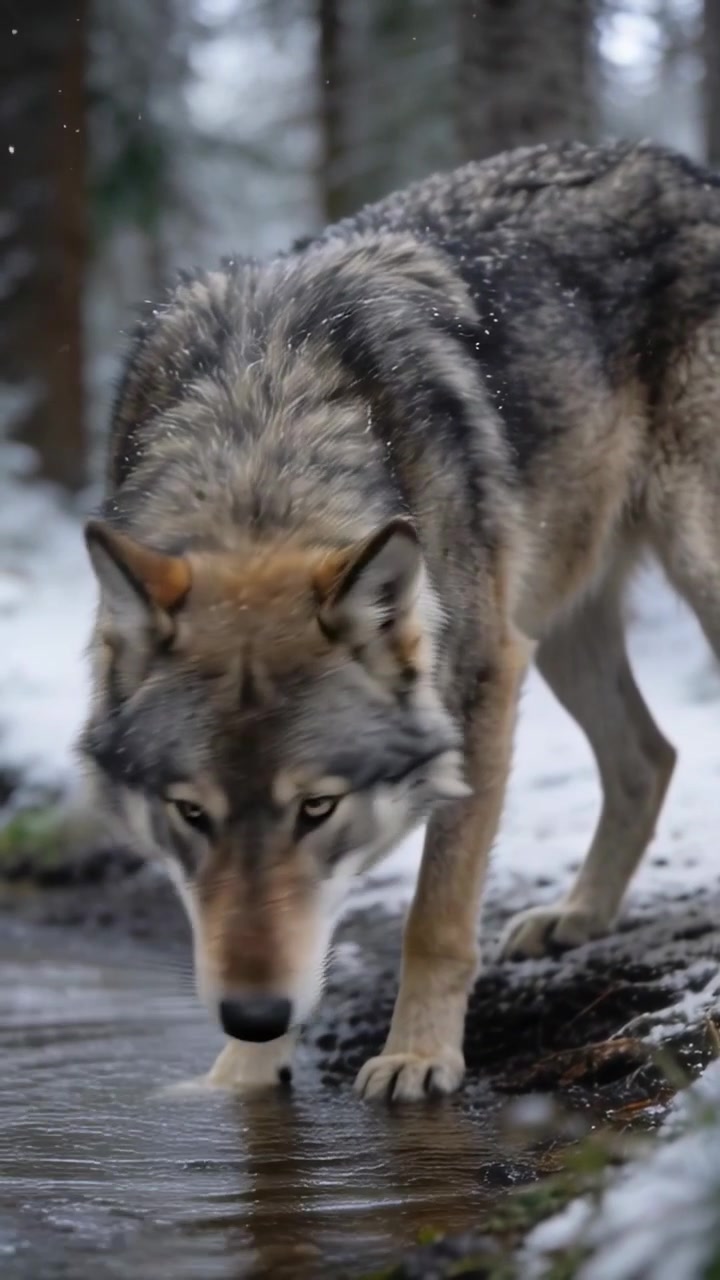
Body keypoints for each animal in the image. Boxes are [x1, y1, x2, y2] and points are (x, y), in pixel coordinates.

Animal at [81, 138, 720, 1102]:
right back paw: (576, 915)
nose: (251, 1016)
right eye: (190, 813)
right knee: (650, 756)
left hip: (680, 576)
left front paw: (419, 1056)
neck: (262, 437)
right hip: (557, 622)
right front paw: (246, 1072)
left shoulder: (482, 685)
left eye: (318, 807)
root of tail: (681, 162)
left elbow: (437, 913)